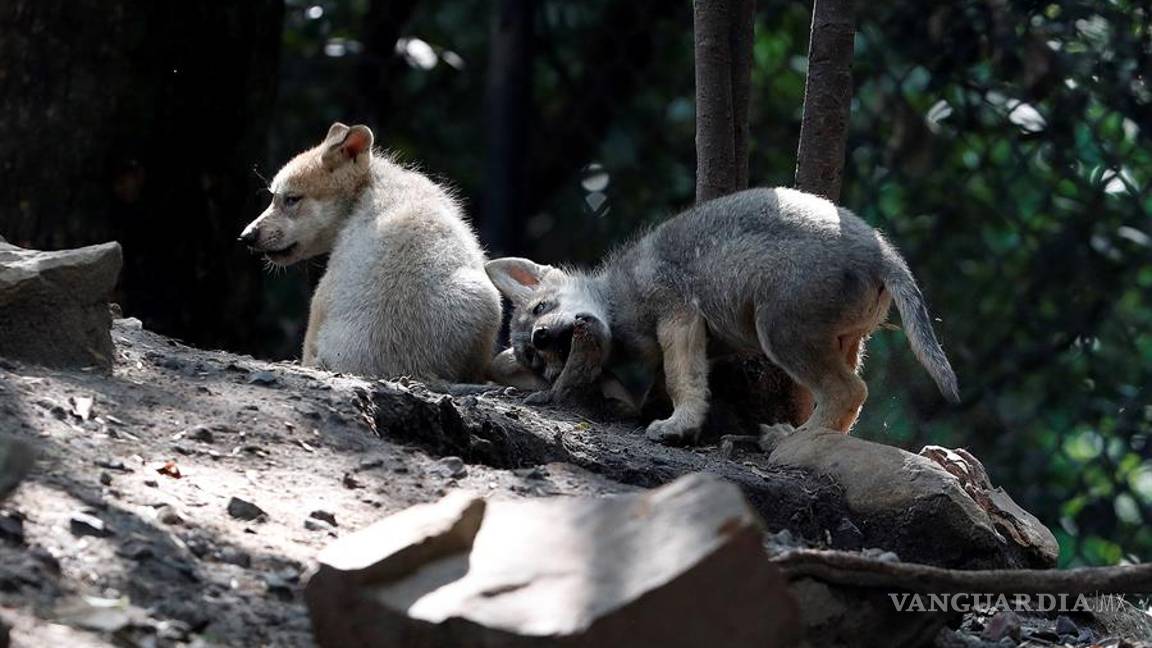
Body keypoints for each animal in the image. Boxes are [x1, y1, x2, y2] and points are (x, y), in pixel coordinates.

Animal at [485, 187, 959, 444]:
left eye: (541, 308)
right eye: (536, 362)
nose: (543, 337)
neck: (618, 298)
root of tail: (884, 255)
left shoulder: (678, 316)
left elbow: (680, 381)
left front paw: (676, 426)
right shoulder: (695, 341)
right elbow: (677, 381)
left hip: (779, 333)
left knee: (849, 391)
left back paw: (791, 440)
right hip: (845, 342)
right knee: (847, 399)